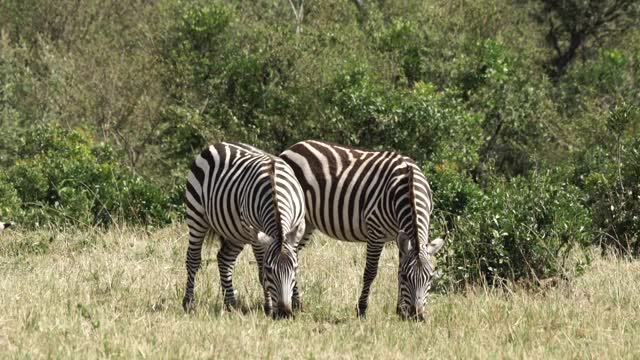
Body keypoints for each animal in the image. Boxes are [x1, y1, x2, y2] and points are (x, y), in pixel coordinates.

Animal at [184, 143, 306, 318]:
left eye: (294, 269)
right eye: (270, 270)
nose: (284, 313)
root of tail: (218, 144)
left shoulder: (295, 229)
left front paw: (297, 303)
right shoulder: (256, 235)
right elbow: (261, 272)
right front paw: (268, 308)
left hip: (235, 231)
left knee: (225, 259)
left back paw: (230, 304)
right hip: (196, 214)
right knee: (193, 259)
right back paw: (189, 303)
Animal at [282, 141, 442, 320]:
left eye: (430, 278)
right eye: (407, 278)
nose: (416, 316)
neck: (408, 183)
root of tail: (294, 147)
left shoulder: (400, 236)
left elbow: (399, 267)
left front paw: (400, 310)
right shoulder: (376, 232)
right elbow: (370, 272)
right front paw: (362, 309)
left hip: (308, 222)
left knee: (294, 253)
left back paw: (296, 303)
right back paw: (292, 302)